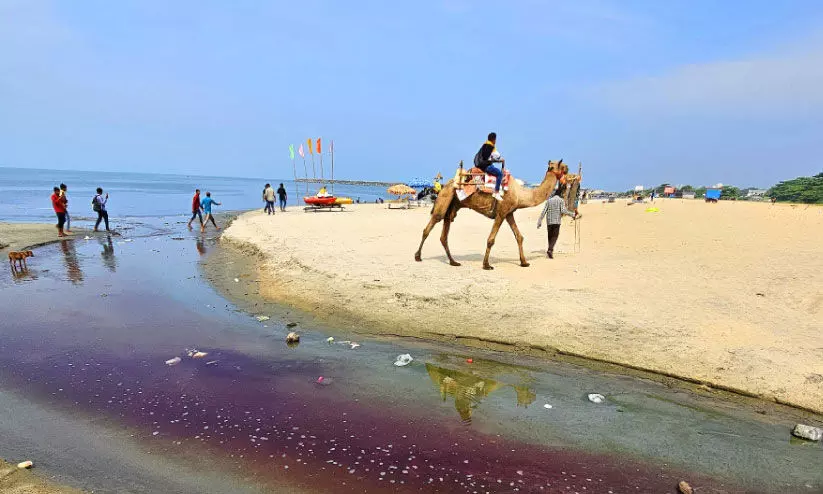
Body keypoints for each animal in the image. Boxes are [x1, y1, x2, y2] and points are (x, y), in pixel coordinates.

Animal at [416, 160, 564, 270]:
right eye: (563, 168)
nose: (568, 175)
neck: (520, 194)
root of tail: (445, 184)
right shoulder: (501, 213)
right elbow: (491, 239)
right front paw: (486, 265)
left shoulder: (509, 213)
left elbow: (519, 236)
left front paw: (524, 262)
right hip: (444, 198)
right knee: (430, 225)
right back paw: (418, 256)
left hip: (452, 207)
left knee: (444, 235)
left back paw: (453, 262)